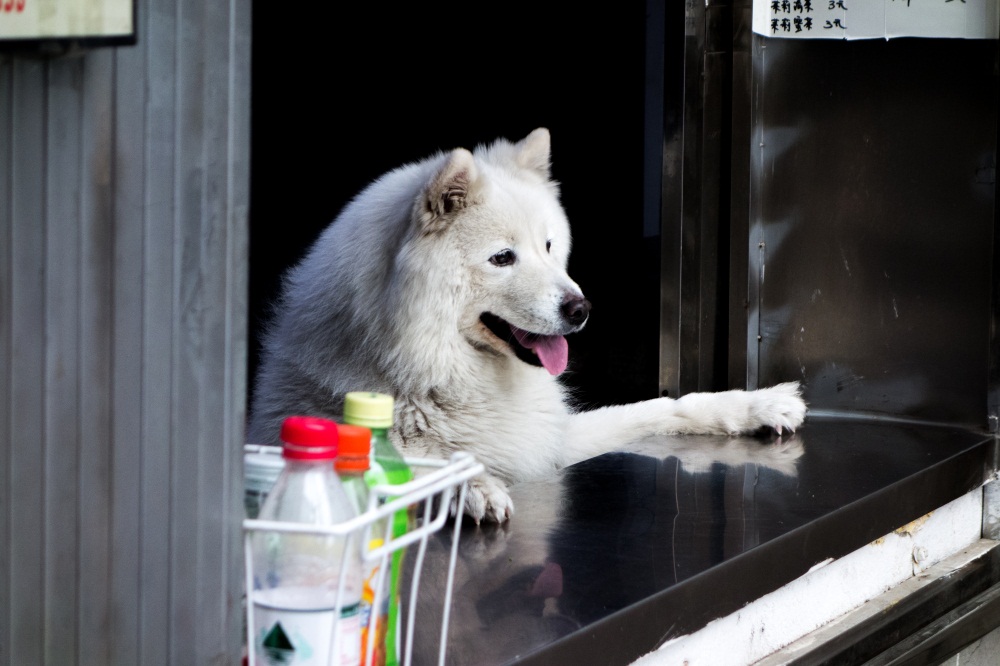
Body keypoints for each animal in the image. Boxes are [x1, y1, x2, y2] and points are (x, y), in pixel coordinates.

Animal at [246, 130, 808, 520]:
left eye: (549, 246)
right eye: (502, 258)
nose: (581, 309)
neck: (431, 377)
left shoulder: (549, 441)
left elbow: (663, 406)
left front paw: (756, 404)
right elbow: (420, 467)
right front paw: (472, 486)